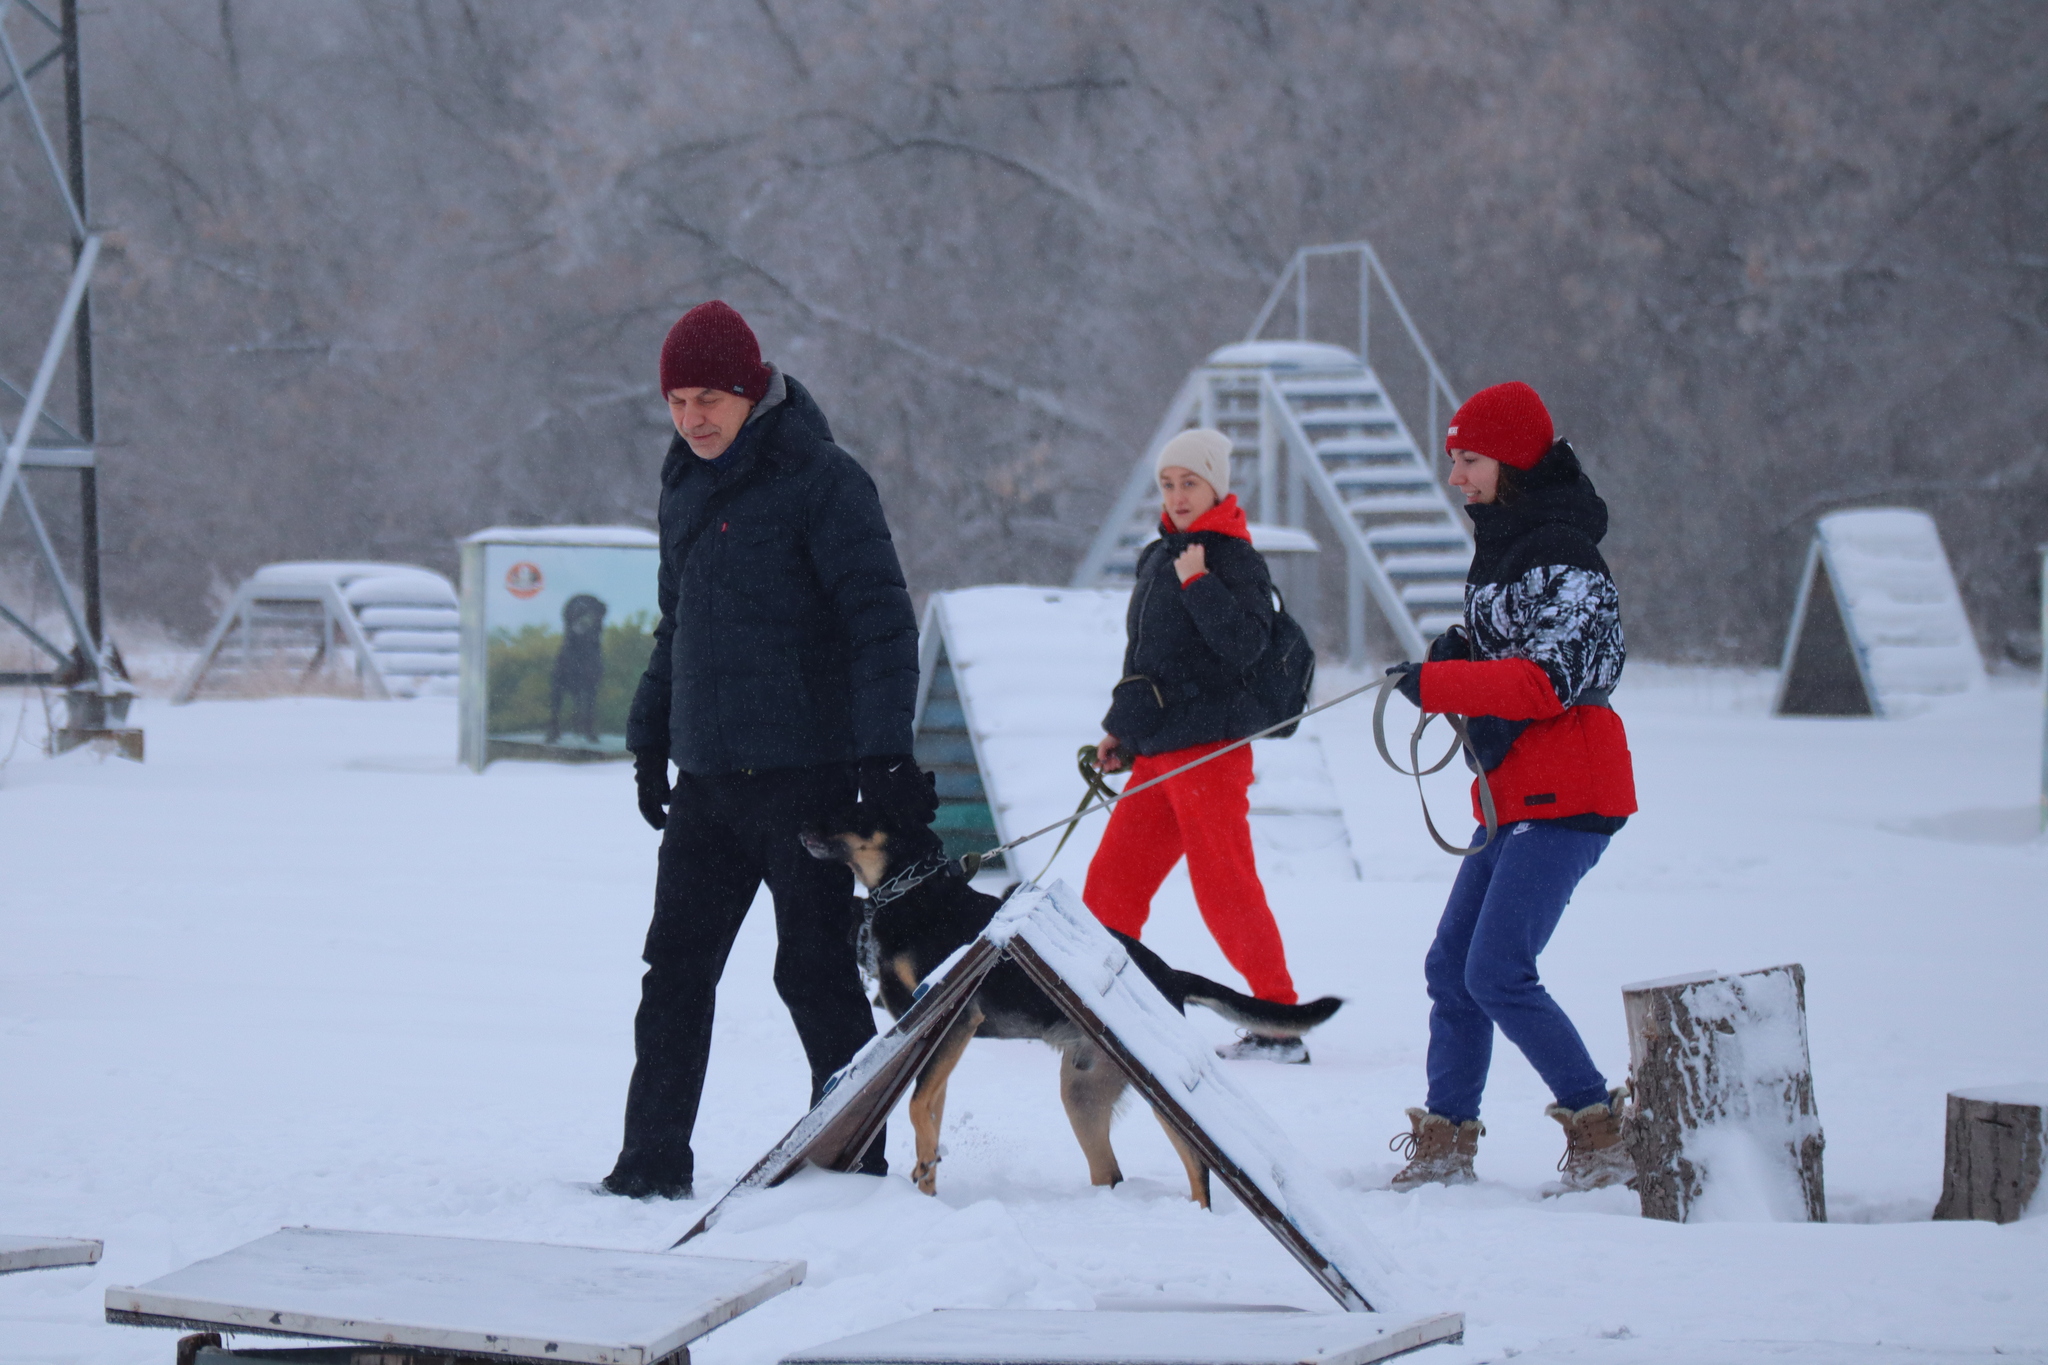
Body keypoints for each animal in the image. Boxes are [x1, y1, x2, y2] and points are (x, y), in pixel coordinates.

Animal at [798, 810, 1343, 1203]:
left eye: (855, 808)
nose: (801, 828)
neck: (913, 897)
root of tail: (1169, 974)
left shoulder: (958, 1017)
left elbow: (916, 1105)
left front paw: (927, 1169)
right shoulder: (940, 1032)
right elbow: (927, 1108)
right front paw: (927, 1181)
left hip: (1153, 1098)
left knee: (1198, 1167)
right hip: (1081, 1093)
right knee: (1112, 1172)